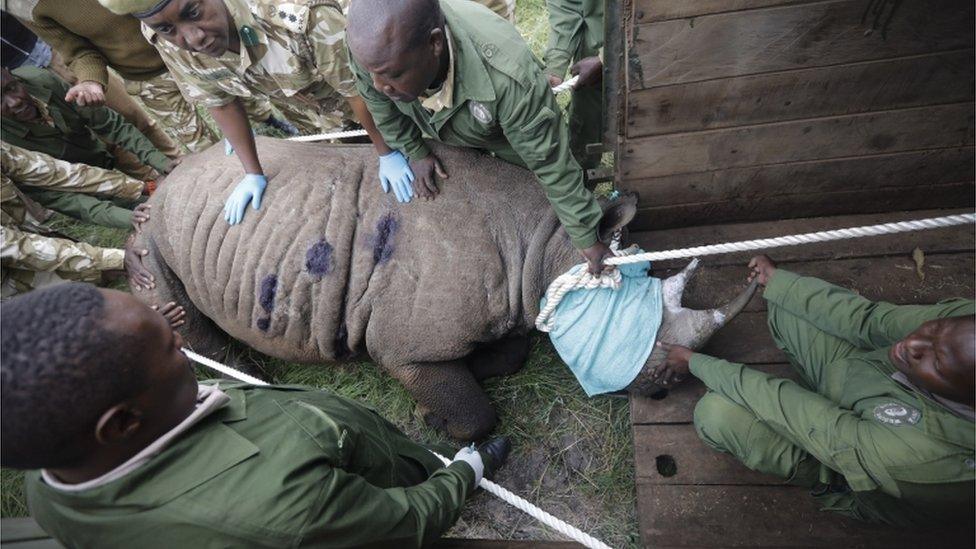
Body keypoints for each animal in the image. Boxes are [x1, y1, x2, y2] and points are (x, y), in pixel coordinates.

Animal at [132, 138, 756, 440]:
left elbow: (513, 349)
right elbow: (476, 415)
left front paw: (478, 368)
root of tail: (168, 179)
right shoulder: (408, 347)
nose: (668, 386)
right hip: (156, 232)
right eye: (636, 326)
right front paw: (437, 423)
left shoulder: (515, 299)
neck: (546, 246)